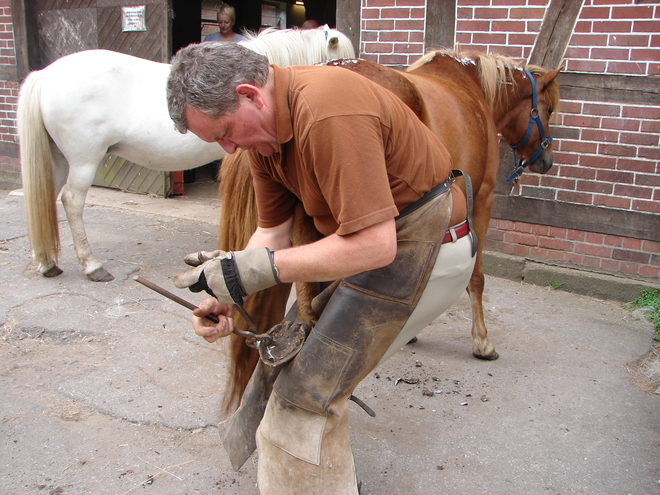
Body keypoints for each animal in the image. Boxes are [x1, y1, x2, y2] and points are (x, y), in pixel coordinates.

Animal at [18, 27, 354, 280]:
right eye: (341, 59)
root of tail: (45, 74)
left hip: (58, 160)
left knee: (47, 196)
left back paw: (47, 261)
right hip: (83, 161)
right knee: (71, 201)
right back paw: (91, 265)